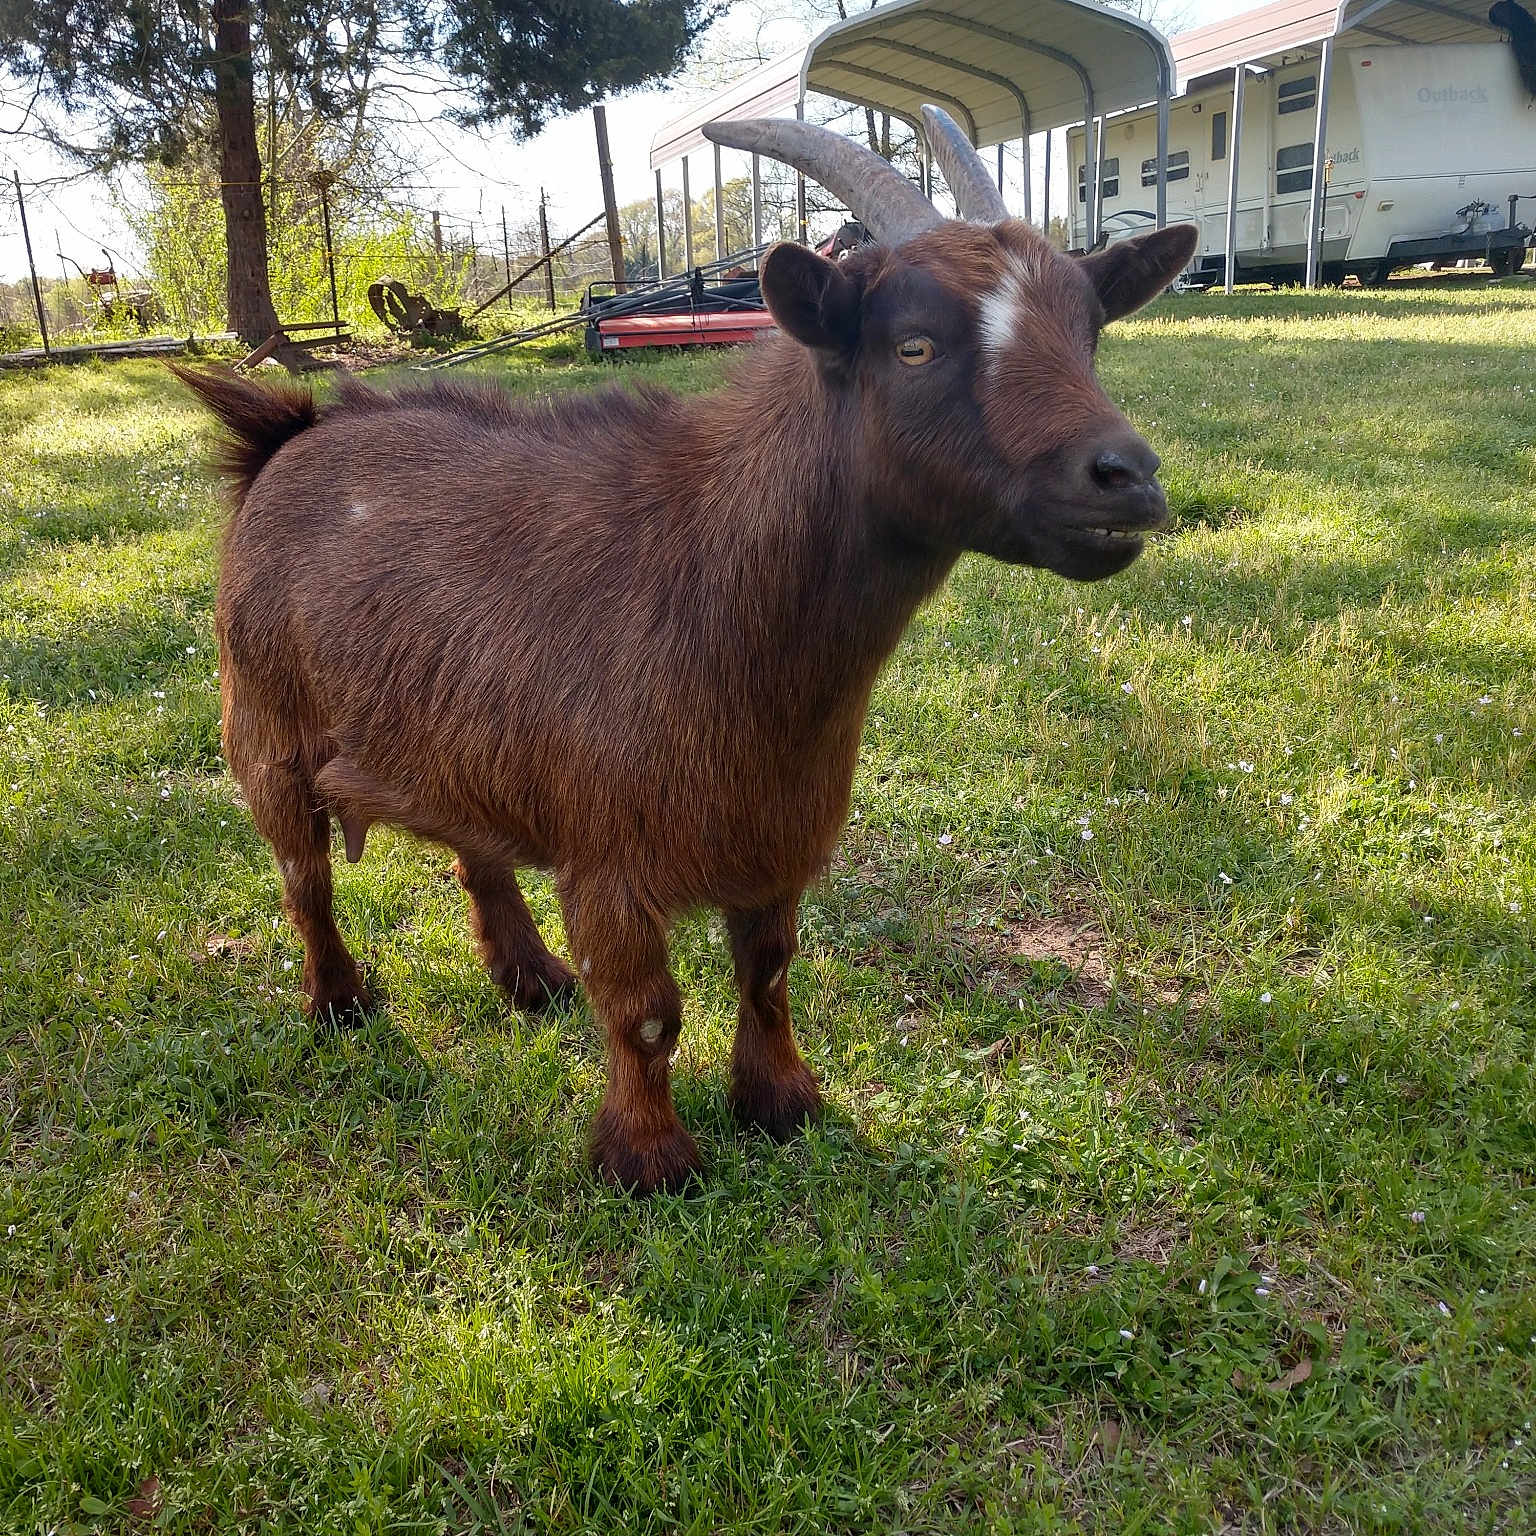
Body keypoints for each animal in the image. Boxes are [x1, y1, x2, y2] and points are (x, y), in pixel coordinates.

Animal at [174, 106, 1198, 1193]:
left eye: (1087, 332)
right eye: (915, 345)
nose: (1127, 477)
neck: (710, 583)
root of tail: (284, 437)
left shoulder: (777, 833)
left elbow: (770, 970)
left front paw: (781, 1102)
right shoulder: (607, 859)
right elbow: (645, 1012)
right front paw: (650, 1158)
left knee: (473, 853)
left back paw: (528, 977)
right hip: (262, 723)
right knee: (304, 878)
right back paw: (338, 1002)